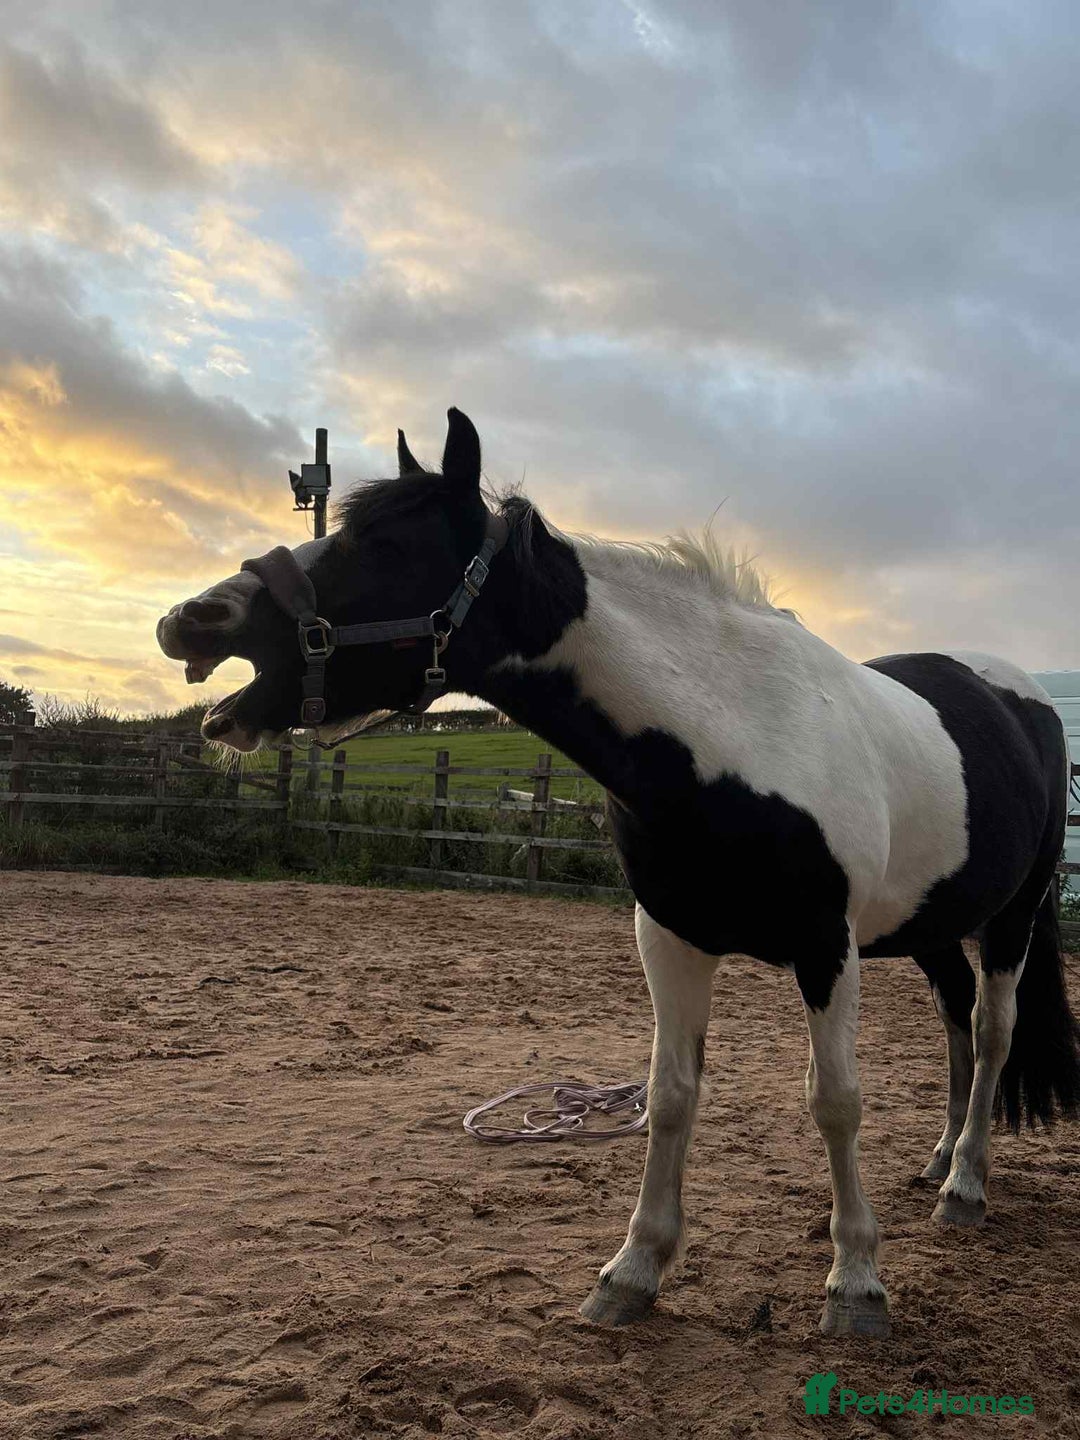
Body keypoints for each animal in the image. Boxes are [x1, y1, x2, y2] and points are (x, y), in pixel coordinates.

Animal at [157, 407, 1079, 1337]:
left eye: (385, 545)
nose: (192, 618)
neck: (734, 740)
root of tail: (1021, 696)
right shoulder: (669, 936)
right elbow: (669, 1096)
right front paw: (634, 1270)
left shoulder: (827, 947)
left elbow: (836, 1101)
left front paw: (854, 1281)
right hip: (929, 924)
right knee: (955, 1018)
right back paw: (939, 1159)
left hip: (1012, 914)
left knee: (992, 1032)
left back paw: (965, 1185)